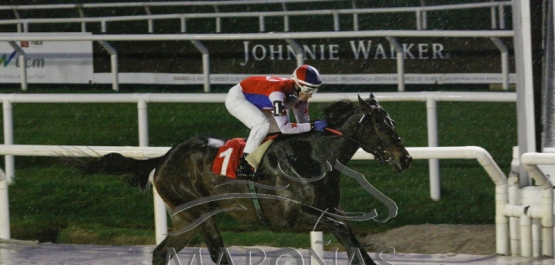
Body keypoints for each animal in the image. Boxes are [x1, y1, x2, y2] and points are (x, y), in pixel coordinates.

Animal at [69, 94, 412, 262]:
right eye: (381, 125)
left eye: (393, 122)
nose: (405, 159)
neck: (315, 156)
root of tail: (163, 158)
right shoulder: (295, 217)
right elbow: (344, 232)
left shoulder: (329, 212)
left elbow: (352, 239)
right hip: (199, 211)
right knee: (217, 254)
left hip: (184, 218)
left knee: (161, 252)